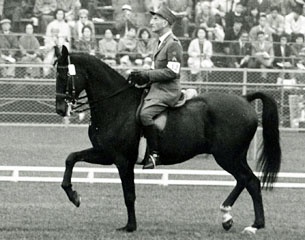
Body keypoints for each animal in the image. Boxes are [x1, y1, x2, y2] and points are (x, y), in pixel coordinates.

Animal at [55, 46, 280, 233]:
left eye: (64, 75)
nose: (60, 109)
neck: (116, 105)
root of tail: (244, 99)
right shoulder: (105, 154)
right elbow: (71, 158)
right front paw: (74, 196)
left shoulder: (122, 160)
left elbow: (129, 195)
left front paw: (130, 227)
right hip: (234, 156)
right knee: (250, 181)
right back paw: (240, 221)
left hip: (227, 156)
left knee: (246, 179)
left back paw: (246, 222)